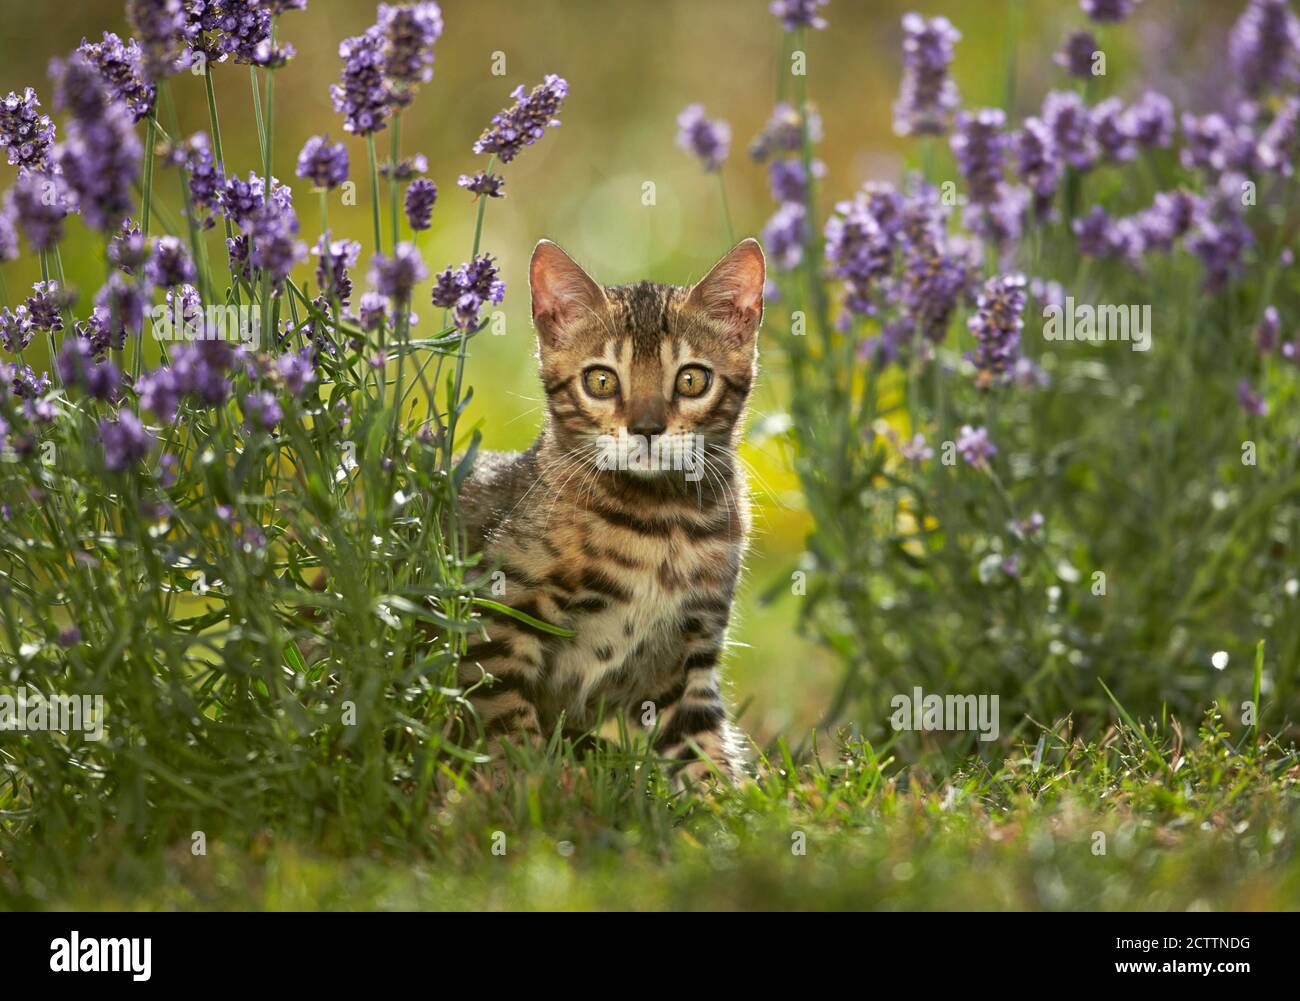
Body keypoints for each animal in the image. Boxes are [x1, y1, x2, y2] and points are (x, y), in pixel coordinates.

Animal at [454, 237, 759, 785]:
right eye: (600, 381)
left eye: (691, 380)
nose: (647, 428)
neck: (664, 523)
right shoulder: (497, 617)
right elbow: (510, 728)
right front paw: (532, 788)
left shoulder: (687, 658)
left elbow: (706, 755)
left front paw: (732, 803)